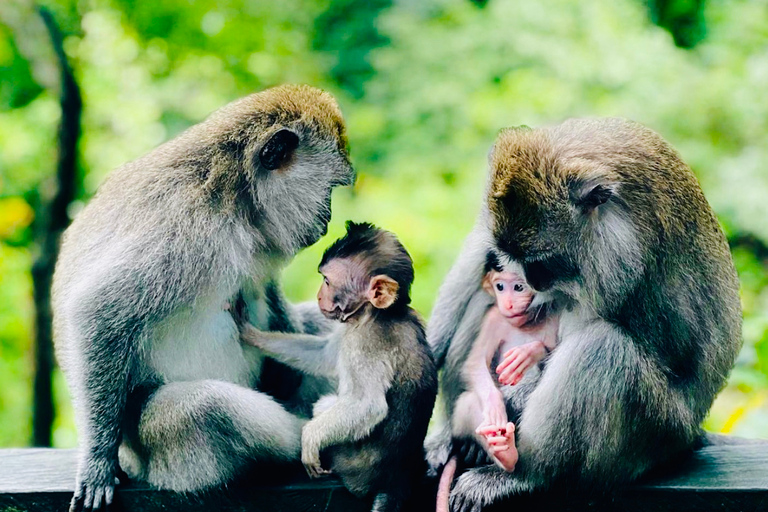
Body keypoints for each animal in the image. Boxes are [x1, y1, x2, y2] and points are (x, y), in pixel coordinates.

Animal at [53, 85, 354, 512]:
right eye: (328, 190)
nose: (326, 219)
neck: (236, 196)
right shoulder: (185, 229)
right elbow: (98, 312)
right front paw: (96, 459)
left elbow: (268, 293)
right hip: (159, 453)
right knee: (203, 408)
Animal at [240, 222, 438, 512]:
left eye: (326, 281)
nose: (319, 295)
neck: (376, 314)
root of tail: (396, 482)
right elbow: (324, 356)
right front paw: (251, 334)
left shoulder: (365, 343)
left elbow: (368, 406)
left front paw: (310, 437)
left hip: (350, 465)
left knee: (327, 406)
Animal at [428, 118, 740, 510]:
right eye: (511, 257)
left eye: (542, 262)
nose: (533, 282)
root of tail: (693, 431)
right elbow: (475, 255)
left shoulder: (621, 257)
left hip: (657, 434)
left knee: (601, 348)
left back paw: (525, 473)